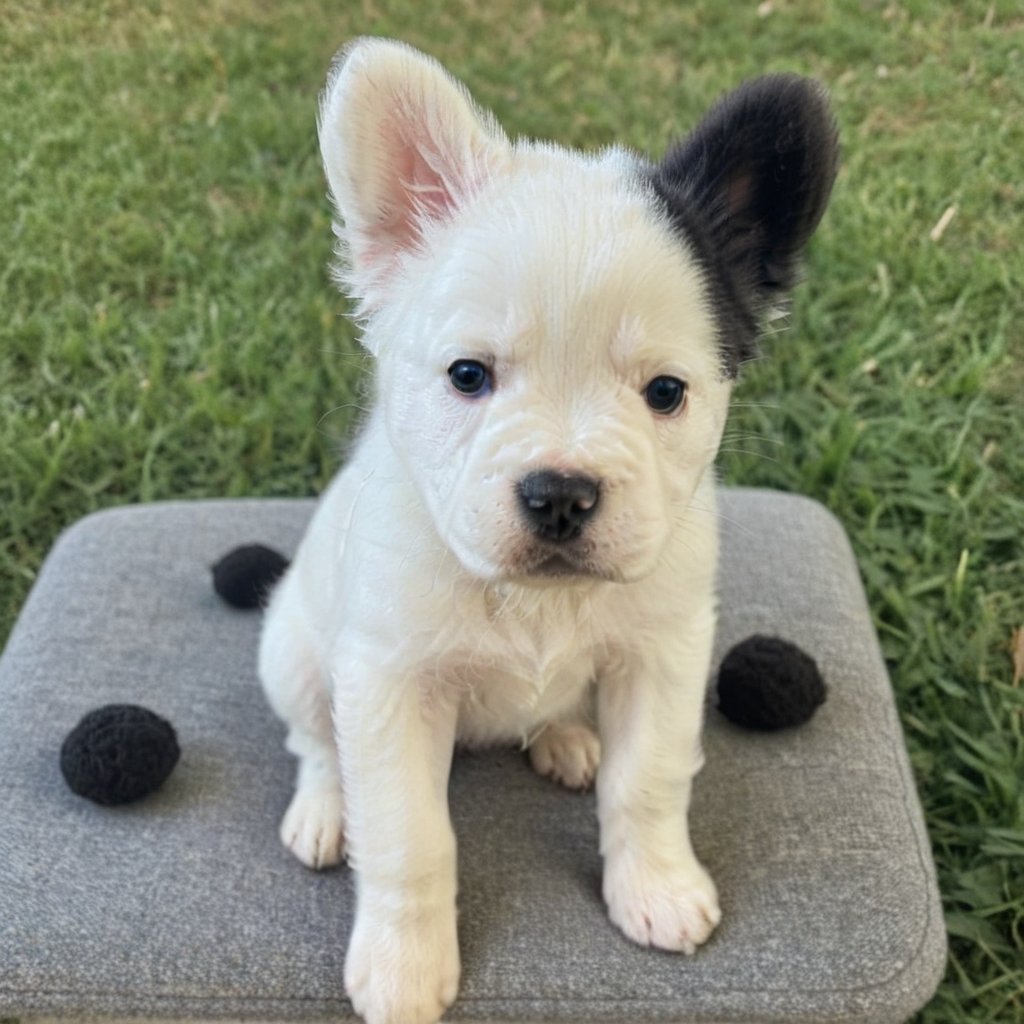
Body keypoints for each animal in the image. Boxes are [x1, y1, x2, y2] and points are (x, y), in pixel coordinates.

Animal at [260, 37, 835, 1024]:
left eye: (666, 393)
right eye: (468, 375)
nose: (561, 493)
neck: (535, 596)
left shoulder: (662, 656)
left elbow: (648, 782)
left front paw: (655, 886)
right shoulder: (389, 684)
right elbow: (409, 836)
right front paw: (404, 964)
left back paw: (565, 737)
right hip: (295, 650)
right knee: (316, 742)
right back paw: (326, 808)